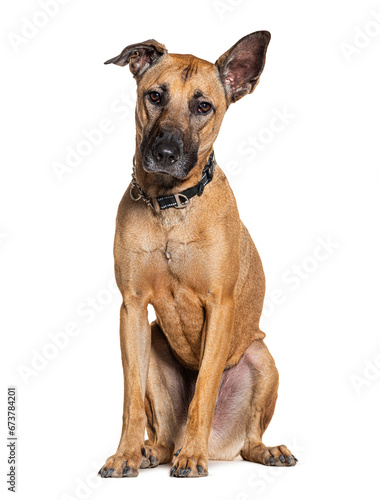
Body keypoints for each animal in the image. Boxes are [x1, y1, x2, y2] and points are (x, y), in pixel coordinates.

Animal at [99, 30, 296, 476]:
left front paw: (192, 456)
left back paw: (260, 451)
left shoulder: (219, 305)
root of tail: (225, 446)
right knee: (161, 431)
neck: (169, 206)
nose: (166, 155)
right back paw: (151, 451)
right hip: (154, 346)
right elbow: (130, 398)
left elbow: (204, 389)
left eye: (203, 106)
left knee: (249, 440)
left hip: (261, 358)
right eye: (155, 96)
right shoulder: (131, 309)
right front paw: (124, 454)